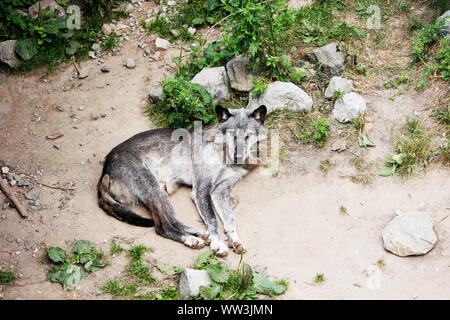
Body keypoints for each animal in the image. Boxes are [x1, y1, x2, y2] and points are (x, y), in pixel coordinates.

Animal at [97, 106, 268, 256]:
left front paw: (235, 240)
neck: (224, 155)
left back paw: (197, 233)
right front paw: (218, 244)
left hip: (161, 193)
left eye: (248, 136)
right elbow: (213, 220)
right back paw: (191, 240)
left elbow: (230, 219)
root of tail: (106, 168)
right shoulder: (201, 190)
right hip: (152, 190)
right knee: (162, 227)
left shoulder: (220, 192)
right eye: (232, 135)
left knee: (172, 220)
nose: (238, 156)